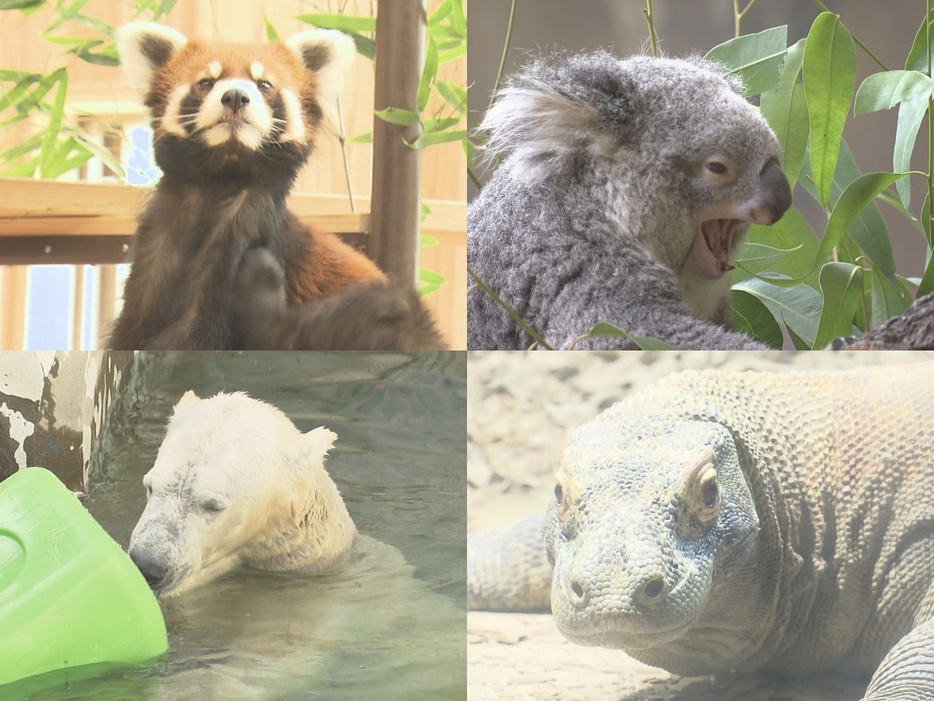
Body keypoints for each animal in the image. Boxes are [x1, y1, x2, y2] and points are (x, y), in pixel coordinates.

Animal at [108, 21, 444, 350]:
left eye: (264, 85)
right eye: (206, 82)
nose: (235, 96)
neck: (219, 186)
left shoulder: (245, 233)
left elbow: (201, 332)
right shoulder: (159, 240)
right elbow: (133, 328)